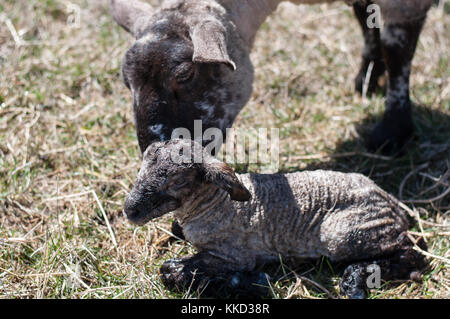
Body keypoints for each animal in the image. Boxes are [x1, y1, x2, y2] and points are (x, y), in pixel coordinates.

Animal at [123, 139, 426, 298]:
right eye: (142, 167)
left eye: (177, 181)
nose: (129, 210)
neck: (216, 205)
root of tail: (391, 202)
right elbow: (176, 231)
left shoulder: (233, 255)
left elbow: (173, 269)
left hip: (348, 231)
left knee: (410, 253)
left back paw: (355, 280)